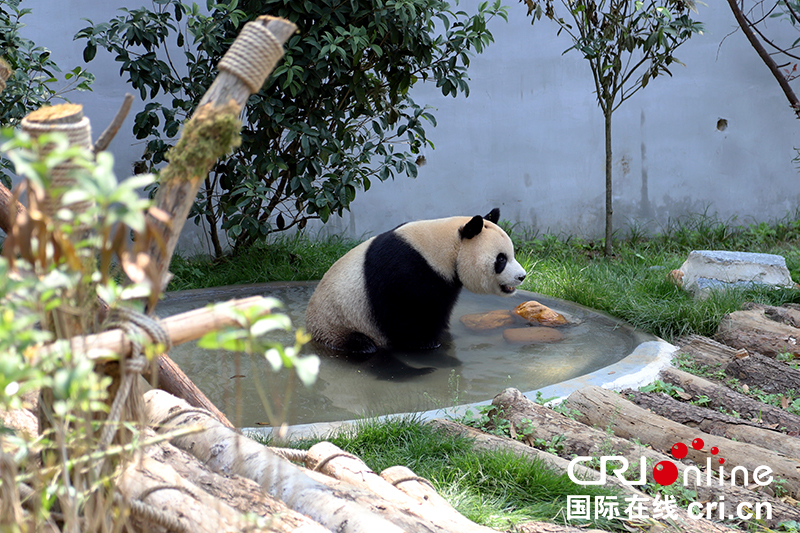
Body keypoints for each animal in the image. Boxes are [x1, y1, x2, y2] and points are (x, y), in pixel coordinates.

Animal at [304, 208, 524, 354]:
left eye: (511, 254)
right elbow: (404, 314)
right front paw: (426, 343)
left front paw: (442, 335)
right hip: (336, 323)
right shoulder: (407, 270)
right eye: (501, 259)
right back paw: (364, 347)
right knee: (355, 341)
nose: (521, 276)